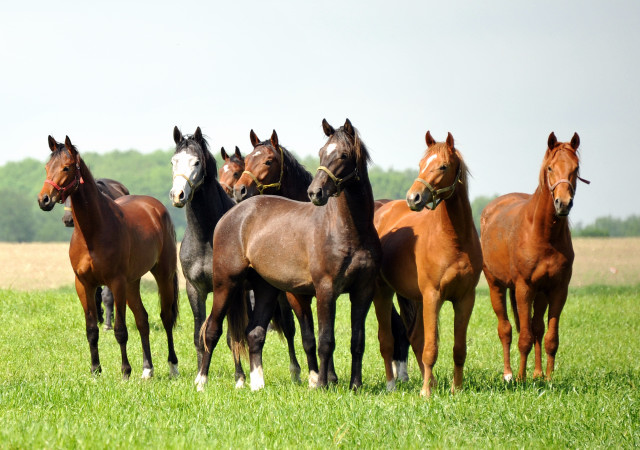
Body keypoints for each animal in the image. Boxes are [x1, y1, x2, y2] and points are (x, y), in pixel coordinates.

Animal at [196, 118, 380, 390]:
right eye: (322, 152)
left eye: (344, 155)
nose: (316, 192)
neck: (349, 229)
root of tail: (232, 215)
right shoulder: (324, 290)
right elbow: (322, 340)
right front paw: (321, 383)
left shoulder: (363, 291)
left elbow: (357, 341)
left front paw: (354, 386)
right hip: (225, 284)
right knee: (212, 328)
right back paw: (201, 381)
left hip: (265, 288)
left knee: (254, 332)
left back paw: (257, 384)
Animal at [372, 131, 482, 398]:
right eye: (421, 164)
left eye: (443, 166)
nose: (414, 198)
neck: (454, 241)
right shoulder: (433, 295)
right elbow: (431, 348)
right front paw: (425, 393)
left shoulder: (465, 299)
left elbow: (458, 348)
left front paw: (456, 389)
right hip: (383, 292)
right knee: (387, 341)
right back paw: (392, 385)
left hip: (416, 299)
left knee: (415, 338)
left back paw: (429, 381)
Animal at [480, 132, 592, 382]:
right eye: (550, 168)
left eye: (576, 168)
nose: (563, 203)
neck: (543, 234)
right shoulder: (524, 288)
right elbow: (524, 337)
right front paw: (521, 379)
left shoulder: (558, 289)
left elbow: (549, 337)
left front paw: (548, 378)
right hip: (497, 286)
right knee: (506, 329)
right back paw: (509, 374)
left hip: (540, 293)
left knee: (537, 327)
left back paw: (538, 373)